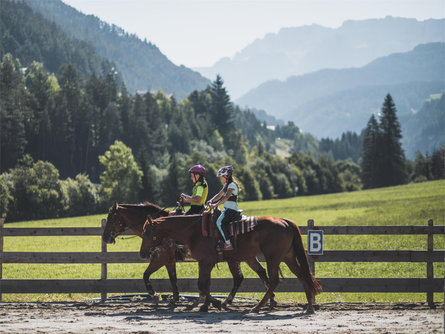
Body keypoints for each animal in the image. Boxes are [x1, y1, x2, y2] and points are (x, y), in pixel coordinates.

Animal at [103, 200, 276, 306]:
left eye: (111, 219)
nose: (105, 238)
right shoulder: (170, 260)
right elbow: (173, 278)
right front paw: (175, 298)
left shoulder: (161, 258)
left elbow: (146, 275)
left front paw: (155, 295)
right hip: (246, 257)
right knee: (259, 273)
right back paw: (270, 299)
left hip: (238, 258)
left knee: (244, 276)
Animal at [140, 214, 320, 314]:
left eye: (147, 231)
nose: (142, 253)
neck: (193, 231)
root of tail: (285, 221)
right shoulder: (204, 263)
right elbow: (204, 284)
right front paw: (207, 305)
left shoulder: (204, 261)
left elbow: (202, 284)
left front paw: (215, 303)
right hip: (288, 258)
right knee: (302, 276)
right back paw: (309, 306)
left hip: (273, 258)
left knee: (274, 280)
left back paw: (258, 306)